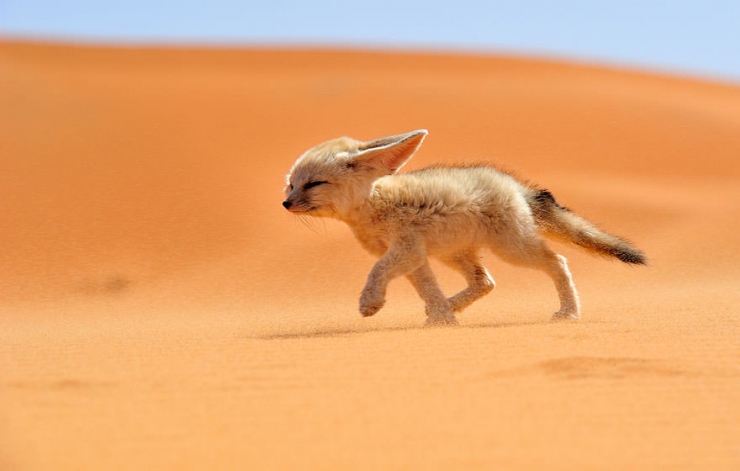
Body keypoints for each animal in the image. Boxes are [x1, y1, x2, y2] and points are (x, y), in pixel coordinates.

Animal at [282, 129, 646, 326]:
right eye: (291, 185)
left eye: (314, 184)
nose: (285, 203)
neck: (374, 204)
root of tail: (515, 185)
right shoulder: (415, 257)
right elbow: (427, 288)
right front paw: (443, 319)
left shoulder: (405, 249)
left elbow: (377, 271)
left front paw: (370, 302)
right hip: (454, 253)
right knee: (485, 282)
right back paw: (450, 306)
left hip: (512, 249)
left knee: (557, 261)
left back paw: (569, 312)